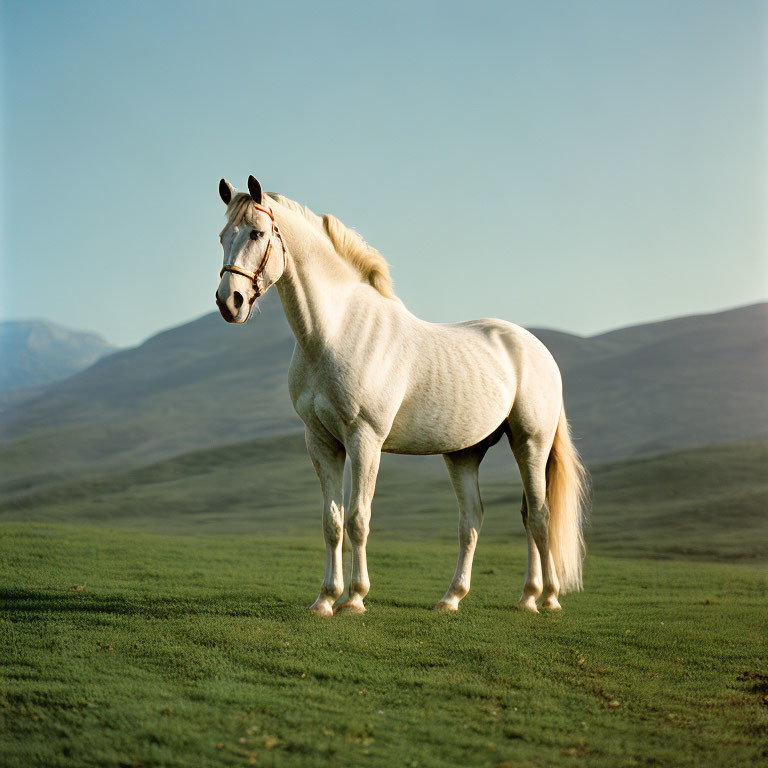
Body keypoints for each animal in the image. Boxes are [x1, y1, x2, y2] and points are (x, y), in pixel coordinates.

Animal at [216, 176, 588, 616]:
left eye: (257, 233)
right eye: (223, 236)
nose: (229, 301)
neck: (335, 331)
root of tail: (537, 350)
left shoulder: (365, 439)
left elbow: (358, 518)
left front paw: (354, 598)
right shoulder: (321, 441)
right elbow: (332, 522)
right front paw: (325, 598)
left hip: (530, 443)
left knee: (538, 515)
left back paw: (542, 597)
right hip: (464, 454)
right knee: (473, 520)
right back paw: (455, 597)